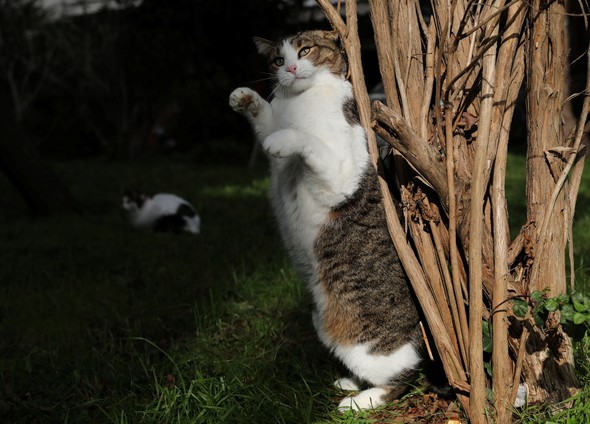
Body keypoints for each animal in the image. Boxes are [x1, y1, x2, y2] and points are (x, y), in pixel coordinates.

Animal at [230, 29, 448, 410]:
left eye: (305, 50)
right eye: (277, 59)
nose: (290, 68)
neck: (301, 102)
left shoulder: (341, 173)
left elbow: (307, 141)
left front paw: (286, 137)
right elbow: (268, 120)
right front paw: (246, 98)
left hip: (364, 342)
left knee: (403, 376)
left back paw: (363, 400)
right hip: (320, 320)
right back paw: (350, 383)